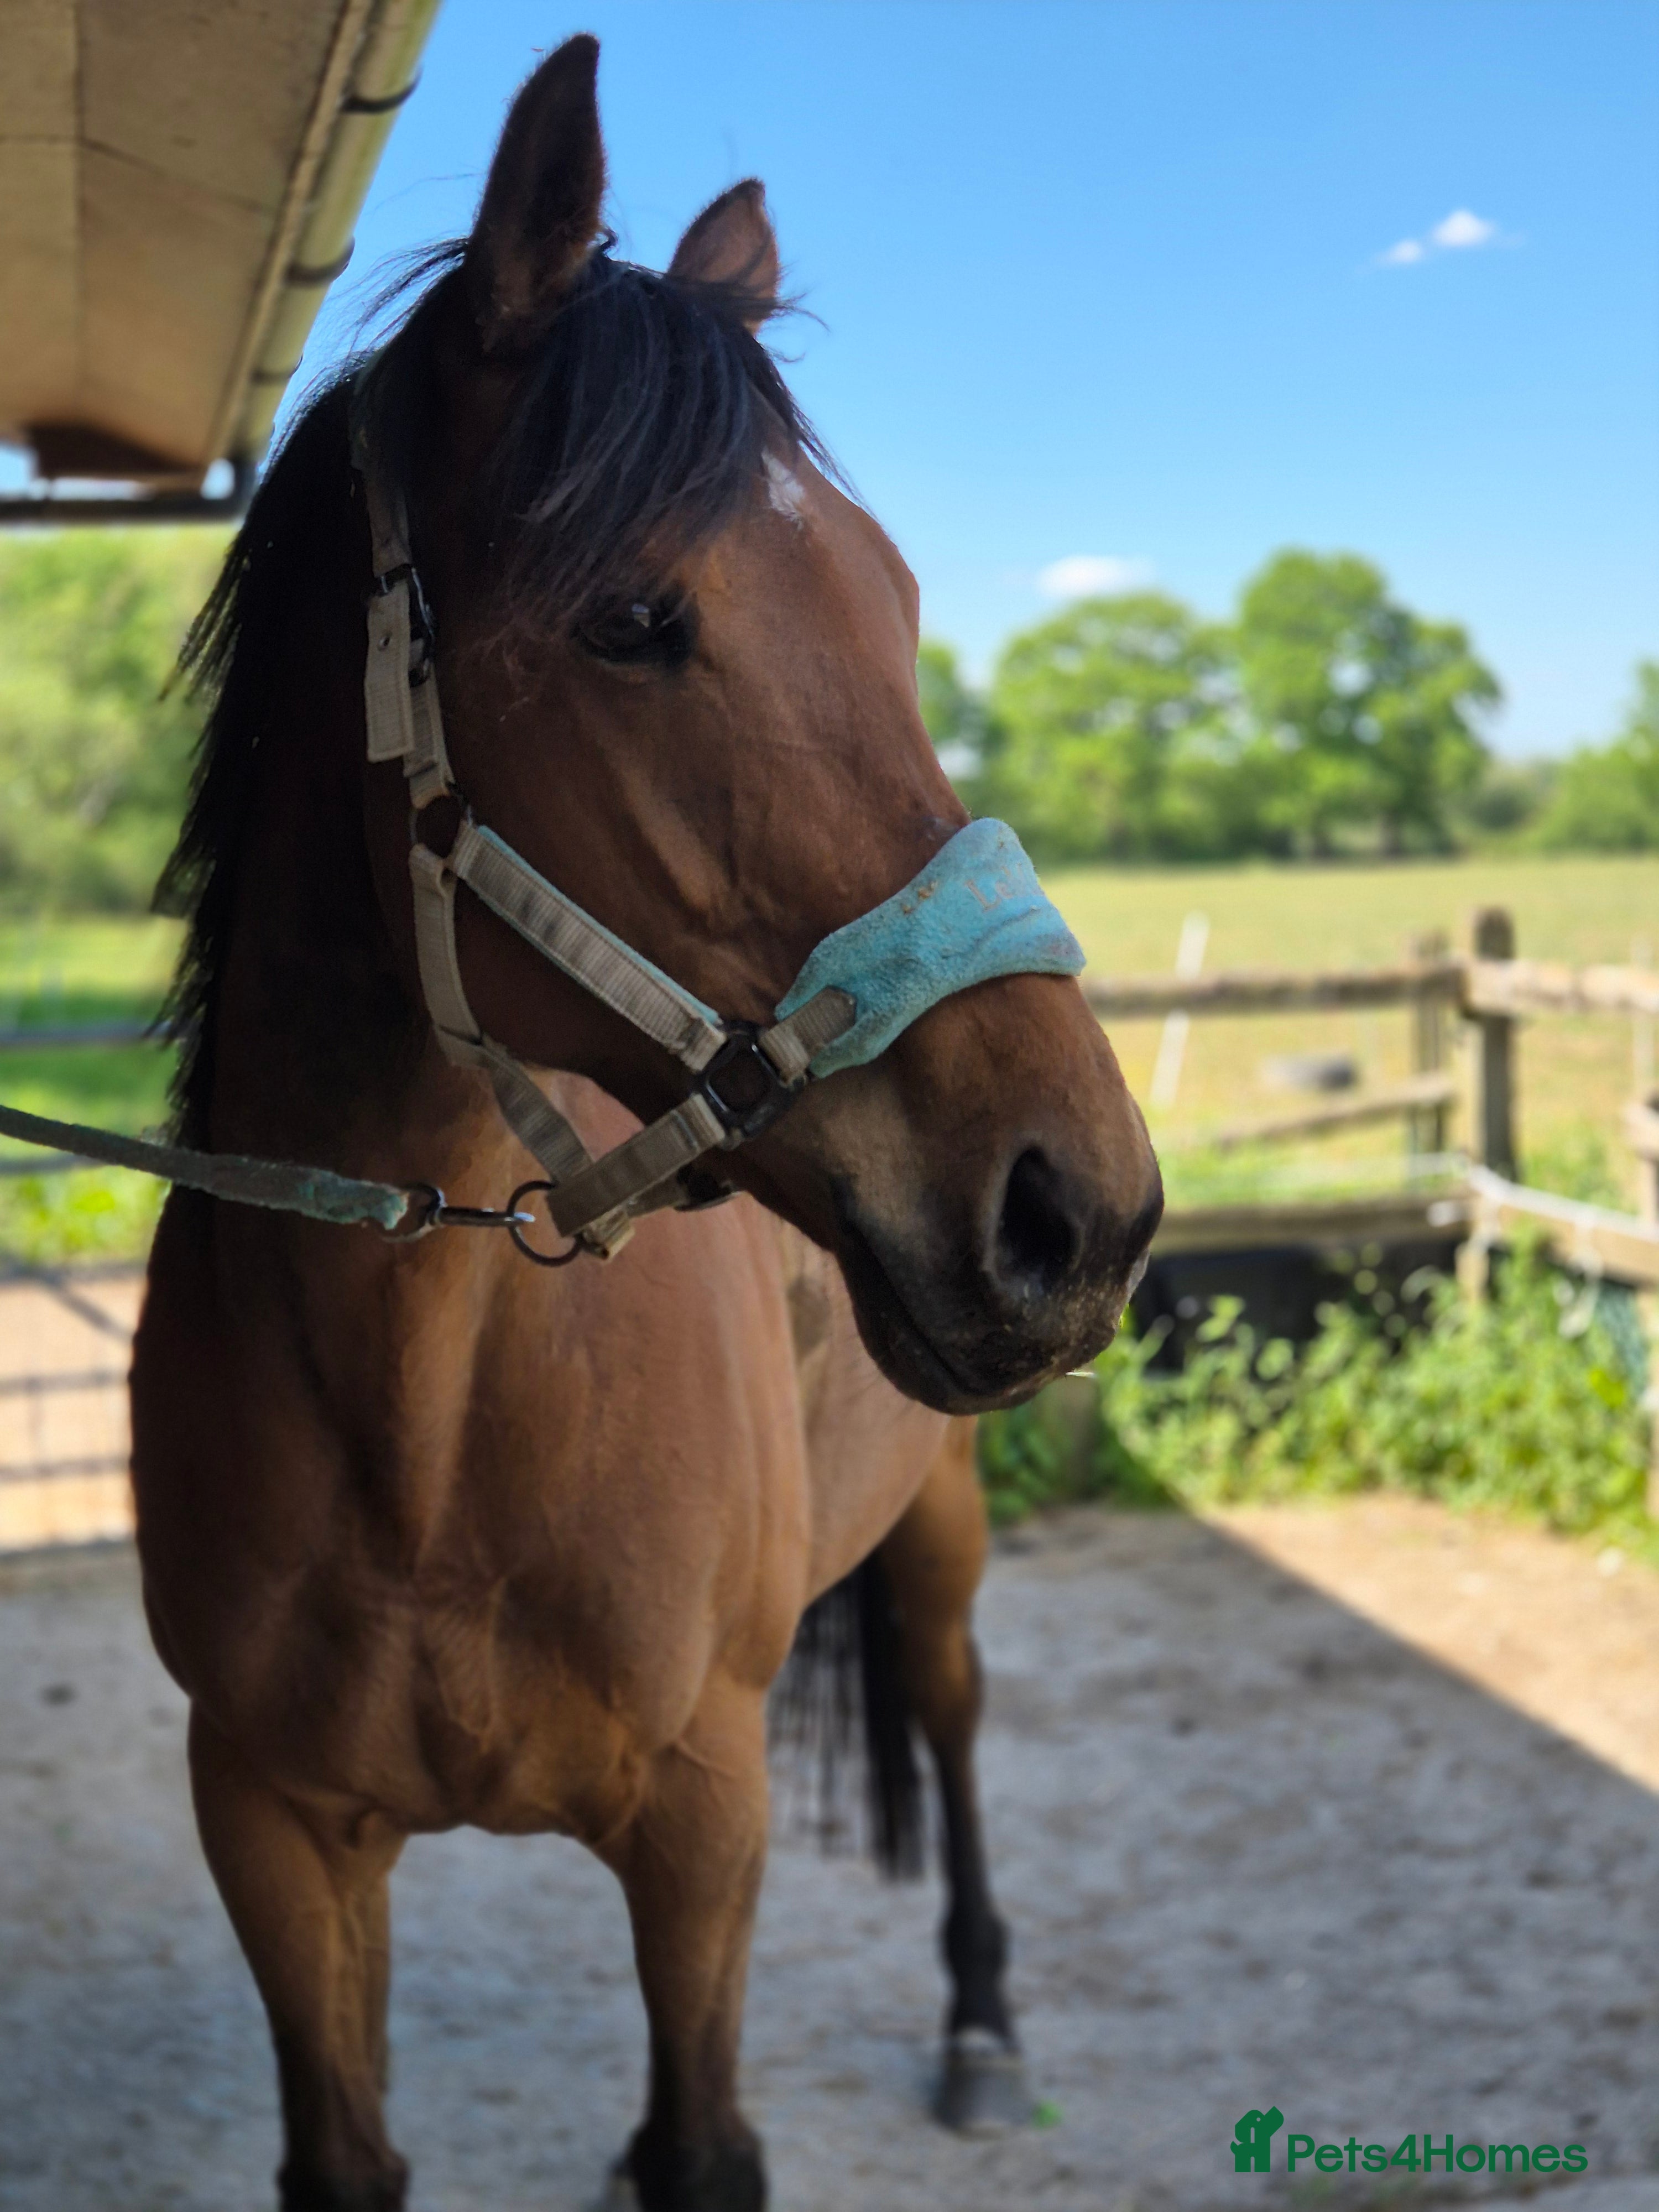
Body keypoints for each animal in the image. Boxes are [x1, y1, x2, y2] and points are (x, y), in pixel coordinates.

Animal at [129, 36, 1162, 2212]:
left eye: (900, 599)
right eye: (630, 620)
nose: (1082, 1208)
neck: (425, 1424)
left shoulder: (701, 1827)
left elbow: (703, 2141)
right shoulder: (271, 1832)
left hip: (940, 1527)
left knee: (951, 1708)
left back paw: (980, 2019)